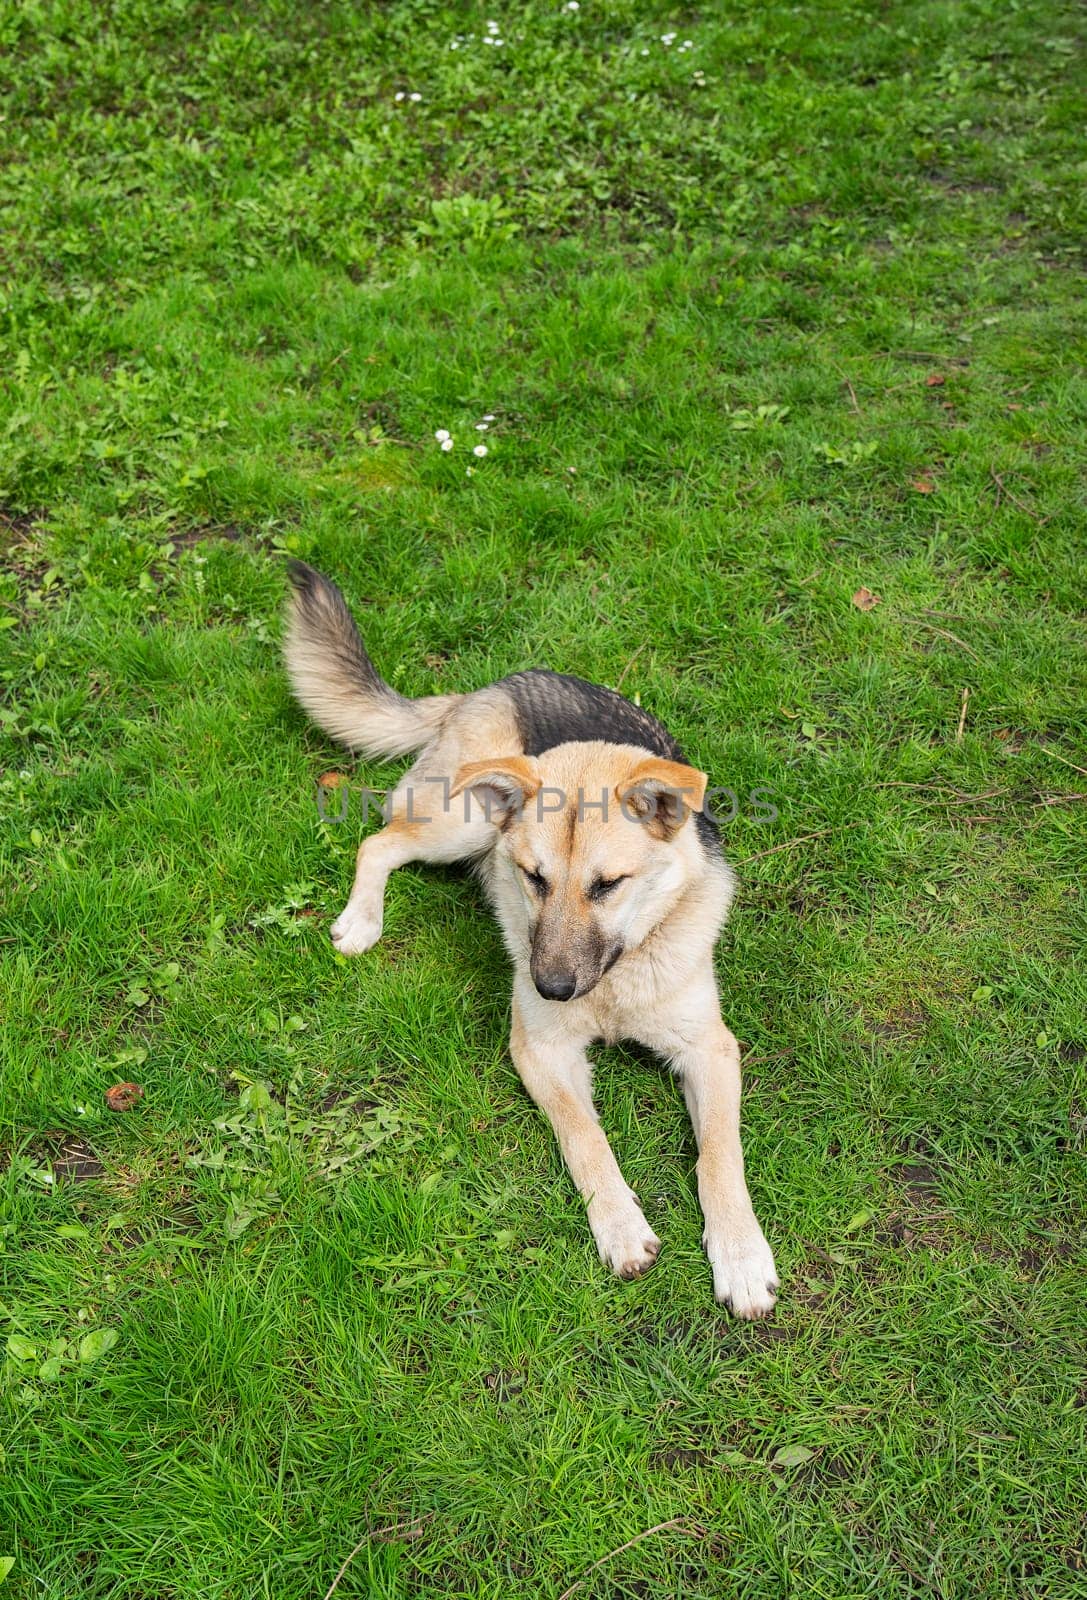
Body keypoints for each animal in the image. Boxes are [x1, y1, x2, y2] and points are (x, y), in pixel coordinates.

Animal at [284, 560, 778, 1312]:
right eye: (534, 879)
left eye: (607, 885)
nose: (550, 987)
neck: (613, 982)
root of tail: (493, 686)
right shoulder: (540, 1052)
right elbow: (586, 1140)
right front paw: (620, 1226)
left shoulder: (710, 1050)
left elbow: (719, 1156)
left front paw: (741, 1255)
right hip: (462, 822)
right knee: (379, 842)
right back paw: (362, 920)